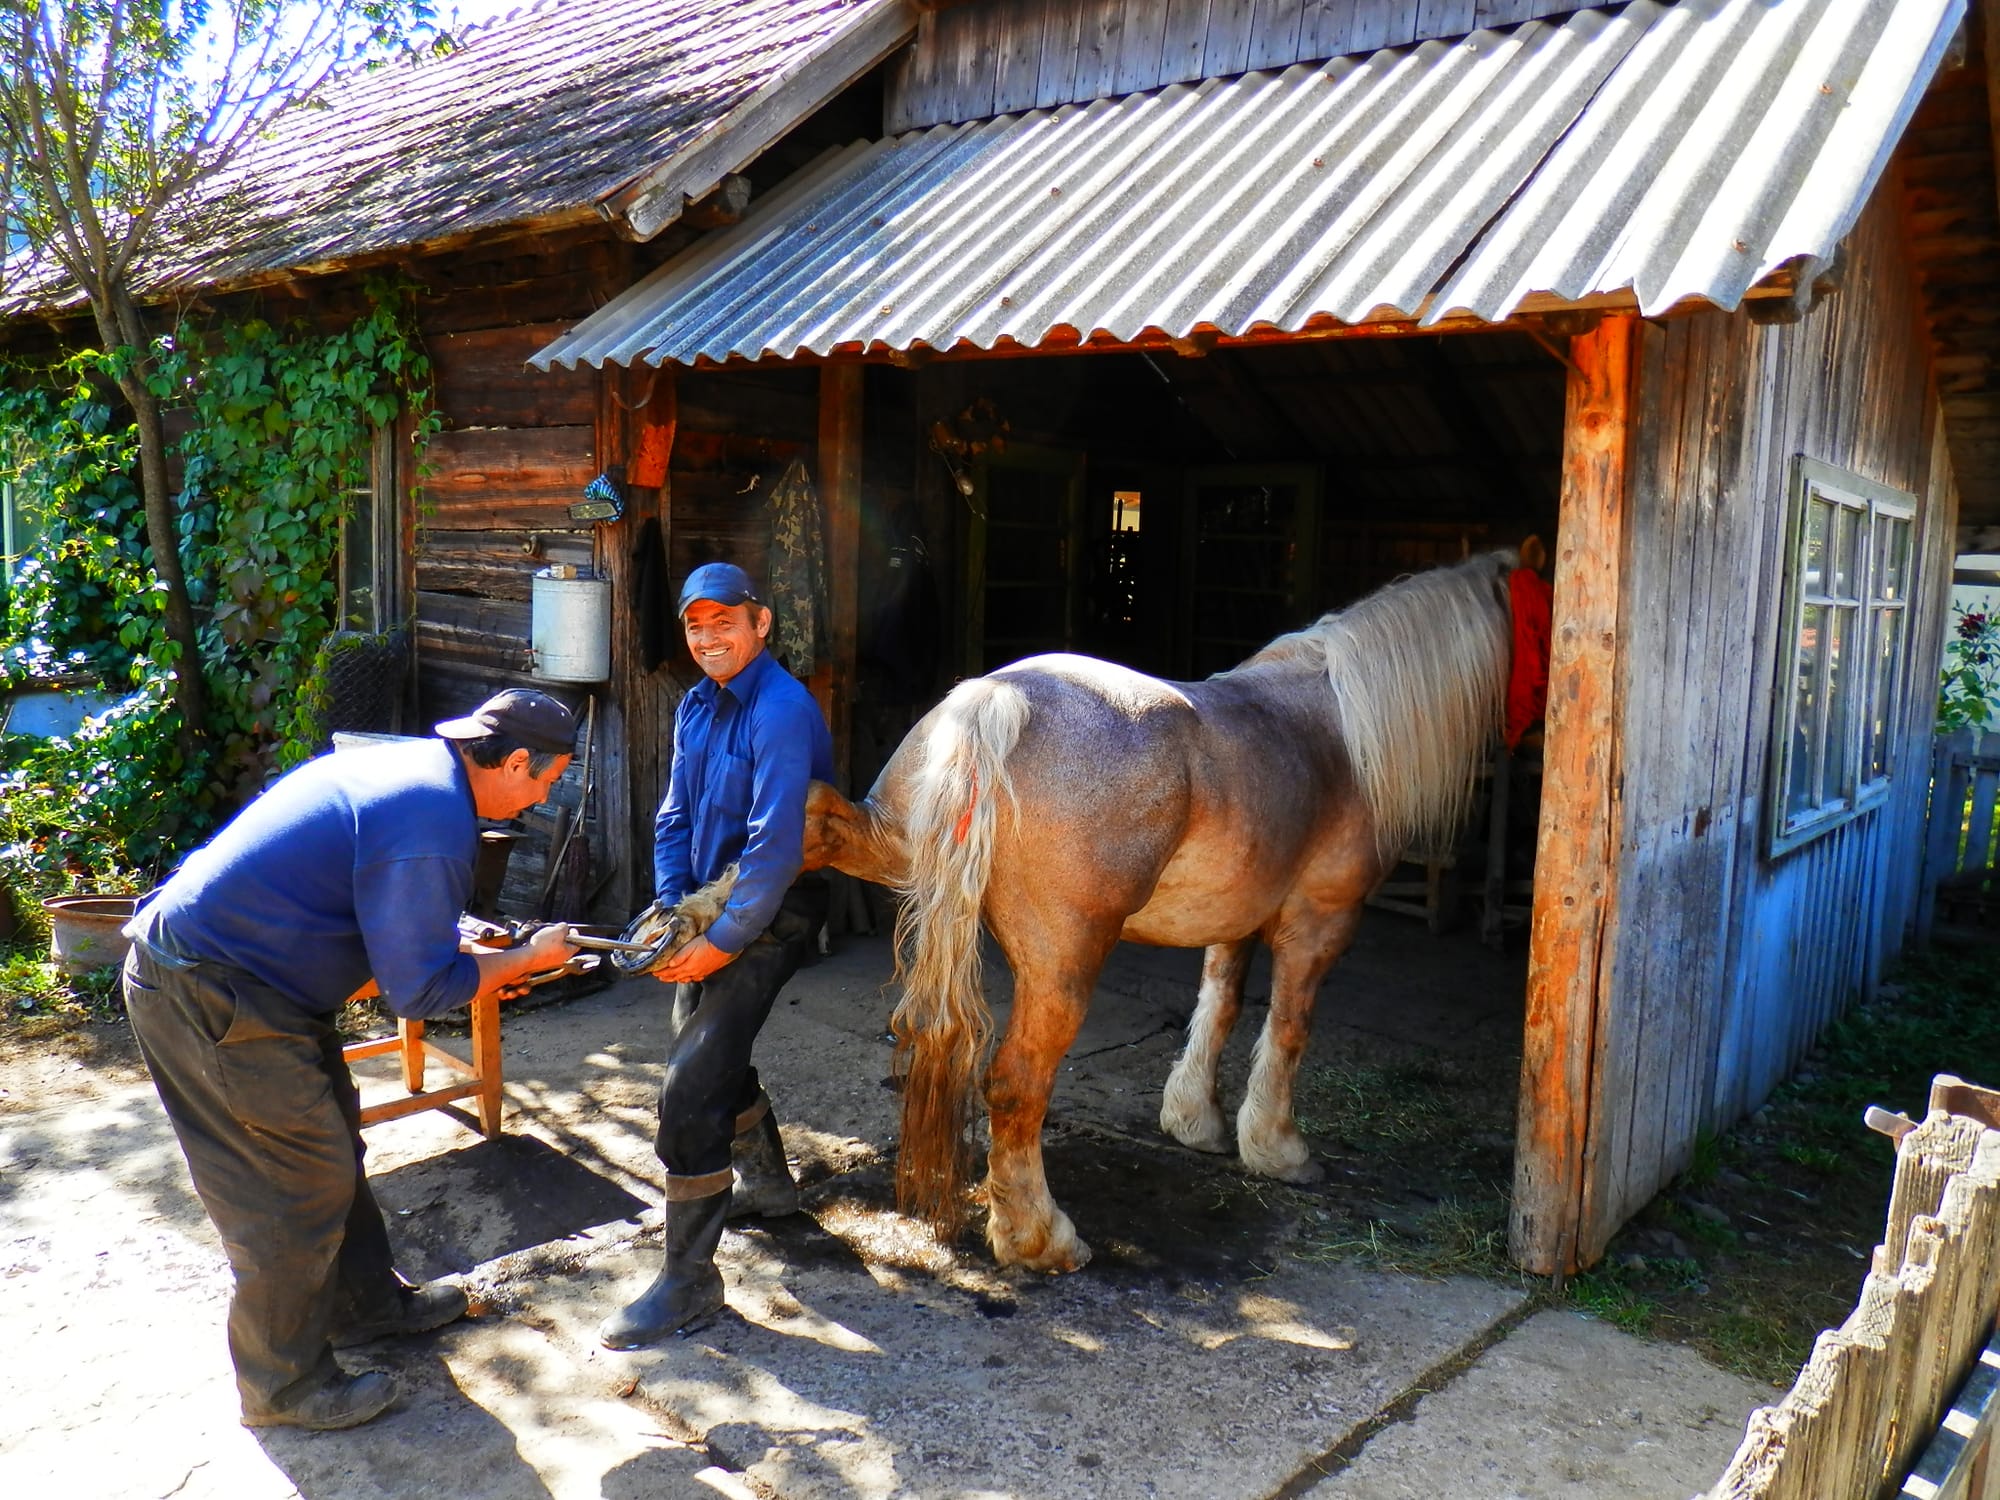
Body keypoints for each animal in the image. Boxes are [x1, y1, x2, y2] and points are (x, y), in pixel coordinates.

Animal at [804, 548, 1504, 1272]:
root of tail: (1000, 697)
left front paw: (1197, 1119)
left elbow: (1219, 1004)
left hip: (892, 850)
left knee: (819, 822)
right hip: (1063, 968)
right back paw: (1041, 1240)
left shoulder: (1234, 918)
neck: (1336, 722)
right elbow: (1288, 1028)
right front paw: (1279, 1150)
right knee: (1016, 1085)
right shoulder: (1321, 920)